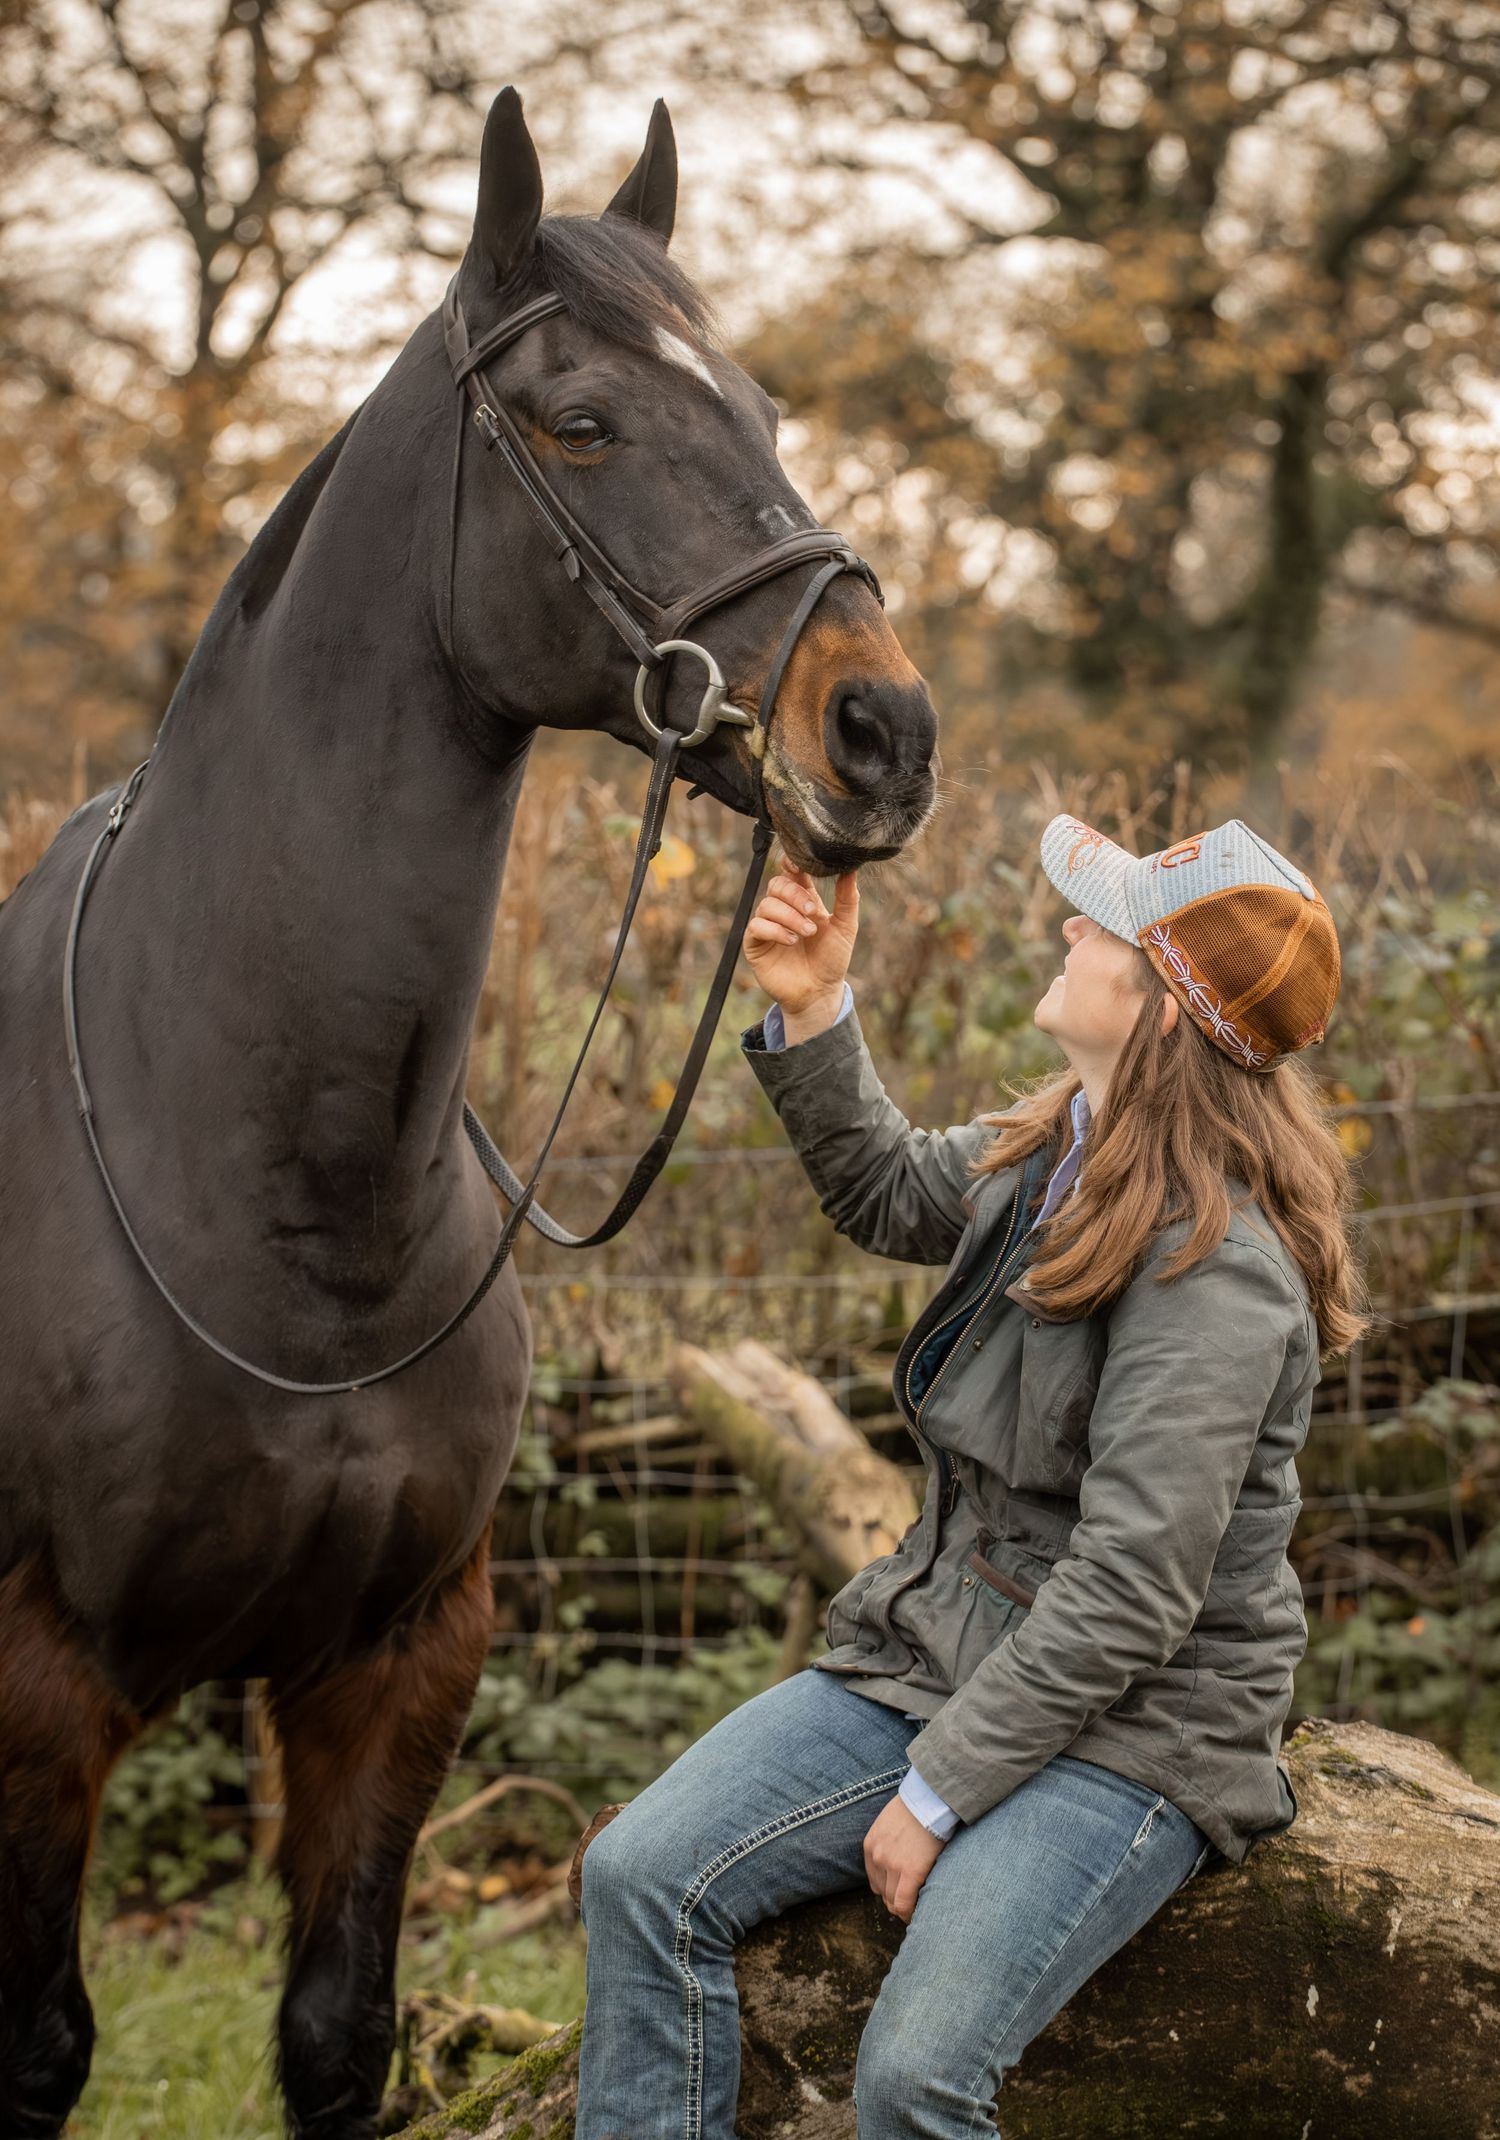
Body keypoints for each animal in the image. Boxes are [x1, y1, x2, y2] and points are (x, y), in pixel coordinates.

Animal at [0, 87, 937, 2137]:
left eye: (764, 409)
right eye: (583, 422)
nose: (885, 734)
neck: (281, 1197)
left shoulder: (402, 1664)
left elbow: (338, 2032)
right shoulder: (37, 1677)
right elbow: (34, 2051)